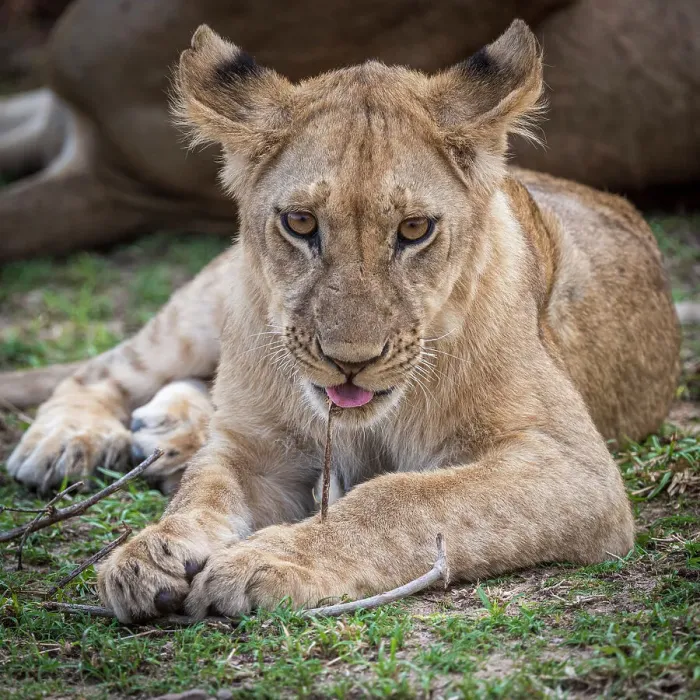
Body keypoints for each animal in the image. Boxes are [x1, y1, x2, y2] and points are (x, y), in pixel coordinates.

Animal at [3, 21, 680, 622]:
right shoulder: (259, 450)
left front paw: (267, 560)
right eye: (300, 223)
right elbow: (208, 488)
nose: (350, 362)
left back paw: (166, 433)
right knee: (103, 373)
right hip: (205, 310)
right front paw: (151, 551)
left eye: (415, 229)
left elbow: (402, 498)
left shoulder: (573, 467)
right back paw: (68, 443)